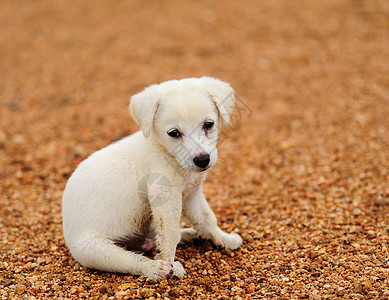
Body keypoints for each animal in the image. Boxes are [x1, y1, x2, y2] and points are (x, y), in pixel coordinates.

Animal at [61, 77, 242, 278]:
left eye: (208, 124)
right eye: (174, 133)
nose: (202, 160)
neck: (167, 152)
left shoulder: (192, 194)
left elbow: (207, 218)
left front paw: (223, 238)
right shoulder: (163, 193)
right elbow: (170, 234)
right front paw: (170, 264)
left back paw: (188, 235)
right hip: (95, 249)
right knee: (133, 260)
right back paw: (157, 268)